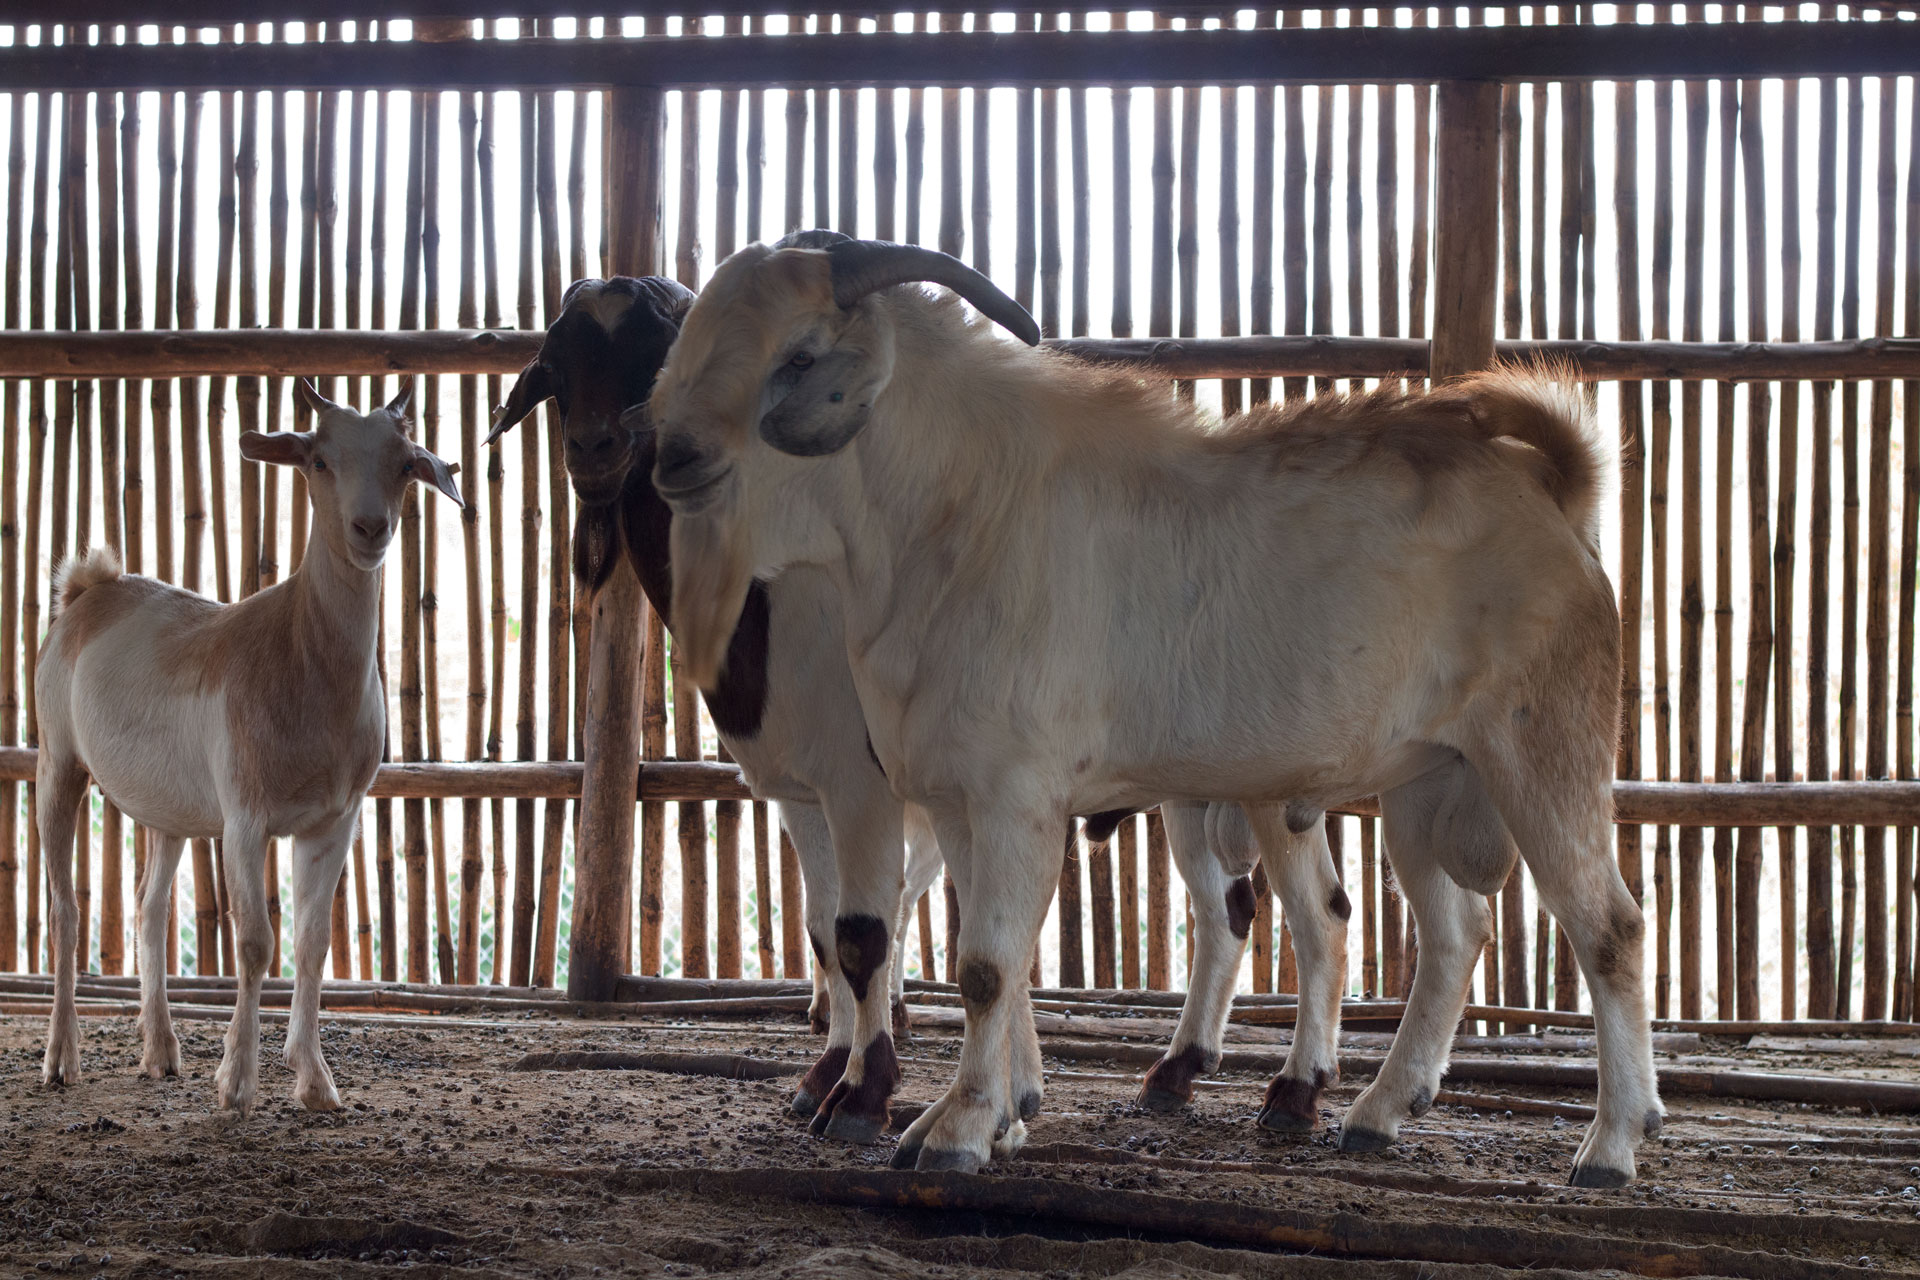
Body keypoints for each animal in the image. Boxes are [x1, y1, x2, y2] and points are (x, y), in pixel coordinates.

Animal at [37, 381, 461, 1115]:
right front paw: (236, 1083)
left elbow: (313, 942)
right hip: (56, 760)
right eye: (318, 459)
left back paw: (161, 1051)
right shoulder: (244, 817)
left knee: (148, 908)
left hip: (168, 810)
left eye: (407, 463)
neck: (301, 658)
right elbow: (256, 942)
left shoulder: (335, 819)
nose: (370, 529)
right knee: (66, 908)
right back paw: (62, 1058)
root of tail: (88, 590)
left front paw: (315, 1081)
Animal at [487, 267, 1353, 1145]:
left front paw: (871, 1092)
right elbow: (833, 931)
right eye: (557, 367)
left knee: (1321, 915)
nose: (596, 449)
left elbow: (876, 931)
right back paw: (1179, 1070)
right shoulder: (808, 789)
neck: (773, 600)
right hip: (1193, 783)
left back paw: (1298, 1088)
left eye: (658, 347)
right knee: (1226, 909)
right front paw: (864, 1075)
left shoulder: (872, 781)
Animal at [647, 238, 1659, 1188]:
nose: (674, 456)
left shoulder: (1012, 791)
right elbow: (996, 962)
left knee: (1608, 928)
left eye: (801, 355)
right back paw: (1381, 1111)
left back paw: (1610, 1145)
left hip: (1541, 747)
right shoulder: (952, 799)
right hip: (1423, 776)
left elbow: (984, 966)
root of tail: (1557, 489)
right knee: (1455, 936)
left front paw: (958, 1132)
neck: (955, 516)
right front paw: (992, 1117)